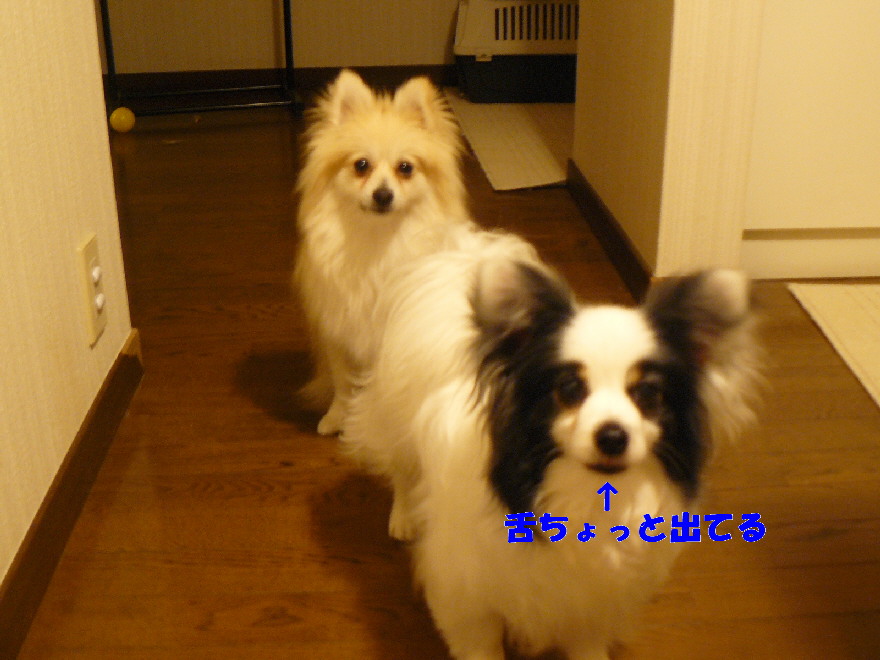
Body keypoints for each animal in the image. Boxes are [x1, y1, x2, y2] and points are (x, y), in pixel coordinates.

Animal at [293, 69, 472, 434]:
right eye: (361, 165)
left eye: (405, 168)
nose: (383, 194)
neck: (378, 242)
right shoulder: (339, 334)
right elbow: (343, 383)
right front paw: (338, 417)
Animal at [343, 235, 760, 659]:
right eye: (570, 388)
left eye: (647, 394)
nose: (613, 436)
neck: (586, 492)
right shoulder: (465, 593)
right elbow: (479, 644)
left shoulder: (590, 598)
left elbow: (588, 641)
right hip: (393, 419)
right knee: (400, 466)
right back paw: (404, 516)